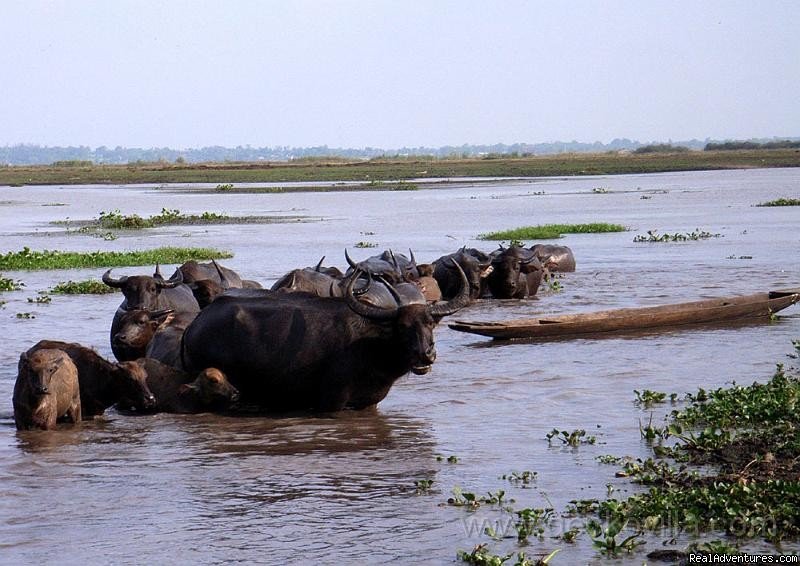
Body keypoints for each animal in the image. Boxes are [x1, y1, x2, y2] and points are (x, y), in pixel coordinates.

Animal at [181, 266, 468, 412]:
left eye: (430, 323)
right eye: (402, 327)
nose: (425, 354)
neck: (370, 346)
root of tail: (194, 326)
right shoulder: (332, 402)